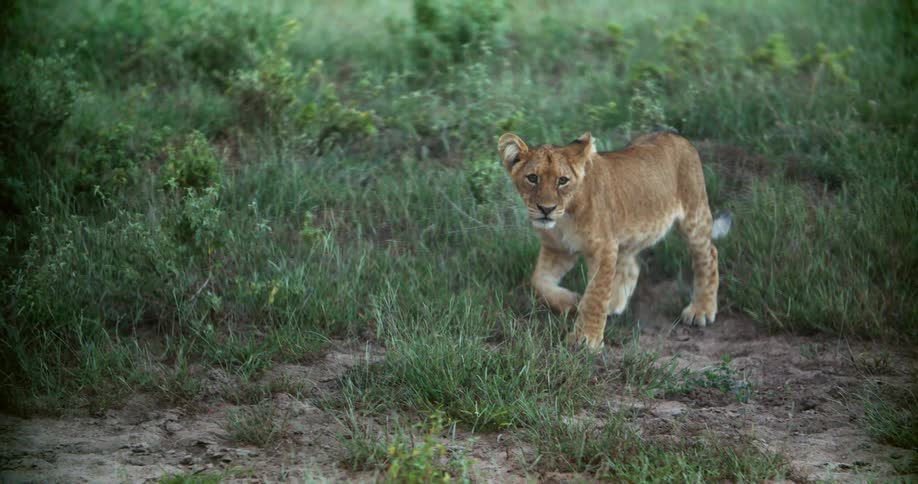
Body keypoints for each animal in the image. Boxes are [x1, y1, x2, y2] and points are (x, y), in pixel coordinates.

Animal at [498, 131, 731, 349]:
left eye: (562, 180)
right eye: (532, 178)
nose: (546, 209)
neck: (563, 218)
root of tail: (674, 134)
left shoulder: (602, 248)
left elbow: (595, 293)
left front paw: (587, 339)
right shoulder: (558, 249)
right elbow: (538, 282)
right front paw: (571, 301)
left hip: (694, 215)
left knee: (709, 255)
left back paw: (702, 310)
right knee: (632, 265)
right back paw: (614, 304)